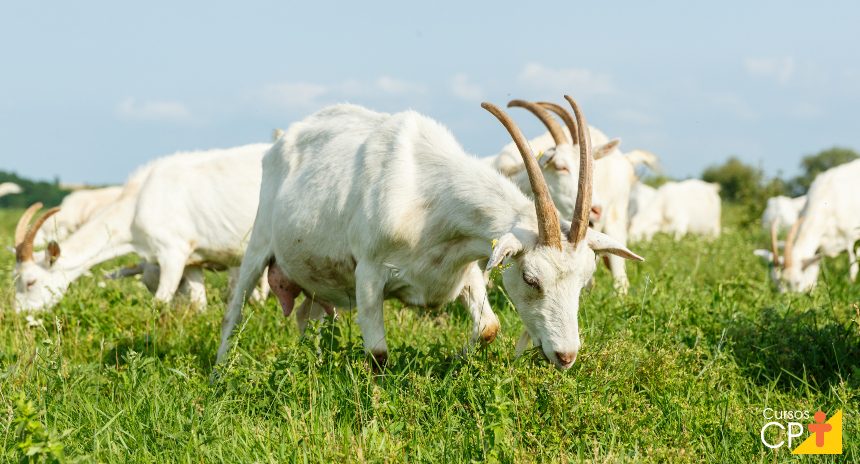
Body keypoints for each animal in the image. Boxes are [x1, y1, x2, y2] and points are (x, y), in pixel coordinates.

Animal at [218, 99, 640, 370]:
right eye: (531, 278)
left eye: (584, 282)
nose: (566, 356)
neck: (426, 196)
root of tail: (282, 141)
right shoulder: (368, 272)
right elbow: (378, 354)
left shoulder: (464, 267)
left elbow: (488, 328)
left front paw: (455, 361)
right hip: (259, 242)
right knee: (233, 312)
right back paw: (220, 376)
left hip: (317, 279)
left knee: (311, 317)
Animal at [752, 159, 860, 290]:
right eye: (777, 283)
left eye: (797, 282)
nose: (788, 296)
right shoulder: (819, 246)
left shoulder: (851, 240)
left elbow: (853, 268)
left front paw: (851, 285)